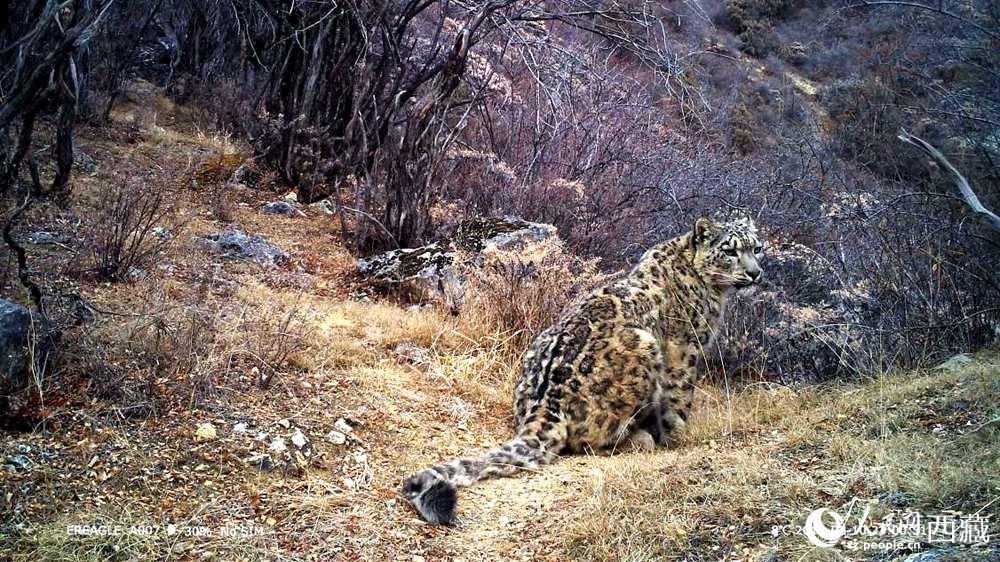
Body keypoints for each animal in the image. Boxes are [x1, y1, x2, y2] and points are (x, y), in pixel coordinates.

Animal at [401, 215, 765, 525]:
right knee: (597, 440)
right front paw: (680, 434)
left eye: (756, 248)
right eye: (730, 250)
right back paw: (642, 437)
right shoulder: (685, 351)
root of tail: (546, 402)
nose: (755, 273)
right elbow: (680, 398)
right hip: (645, 348)